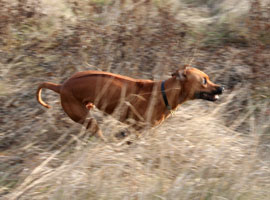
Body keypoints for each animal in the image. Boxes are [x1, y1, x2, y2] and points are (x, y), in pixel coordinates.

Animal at [37, 66, 225, 140]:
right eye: (204, 81)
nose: (222, 88)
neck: (163, 93)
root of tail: (61, 86)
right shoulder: (137, 129)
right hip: (88, 119)